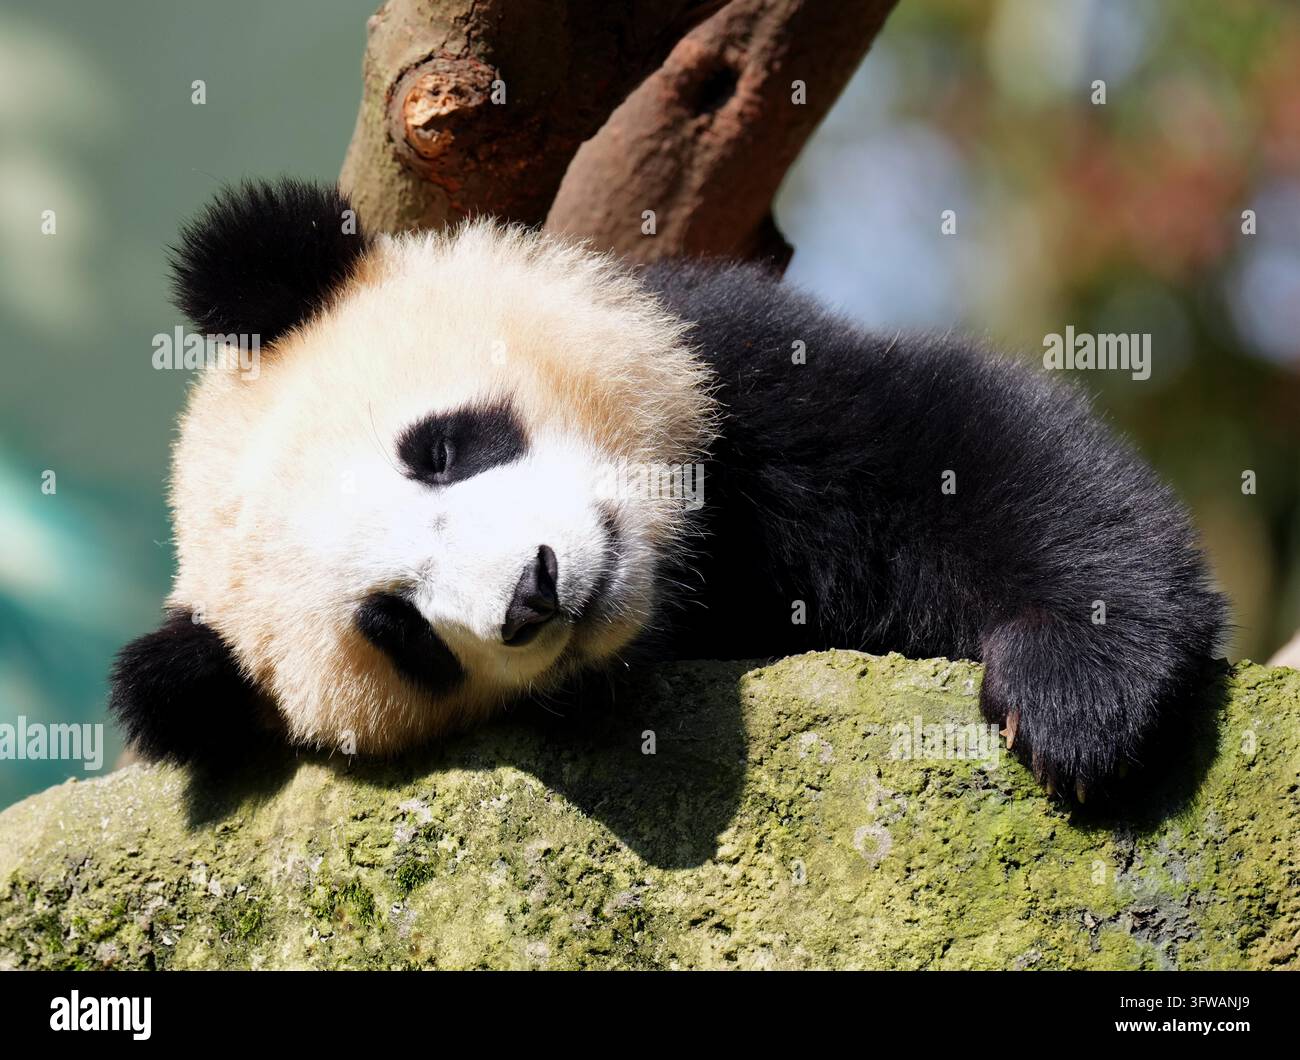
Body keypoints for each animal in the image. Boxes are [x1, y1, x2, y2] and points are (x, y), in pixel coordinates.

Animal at [110, 178, 1226, 798]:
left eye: (441, 448)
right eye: (401, 631)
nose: (534, 591)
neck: (672, 588)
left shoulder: (723, 375)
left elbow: (953, 453)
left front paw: (1078, 691)